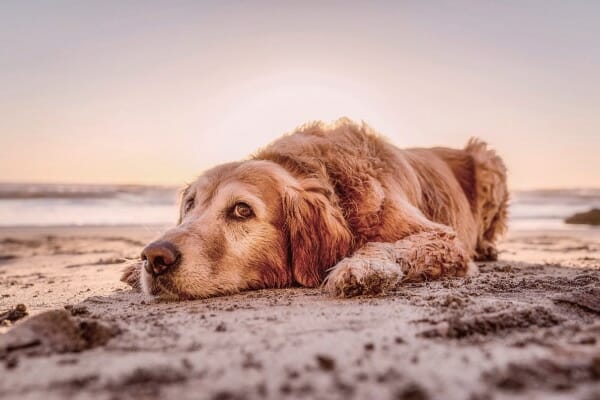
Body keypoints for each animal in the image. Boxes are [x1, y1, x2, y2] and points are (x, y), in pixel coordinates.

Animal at [122, 119, 506, 300]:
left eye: (242, 211)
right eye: (190, 204)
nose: (155, 257)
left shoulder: (444, 239)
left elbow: (387, 244)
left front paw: (361, 267)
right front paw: (130, 269)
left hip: (489, 159)